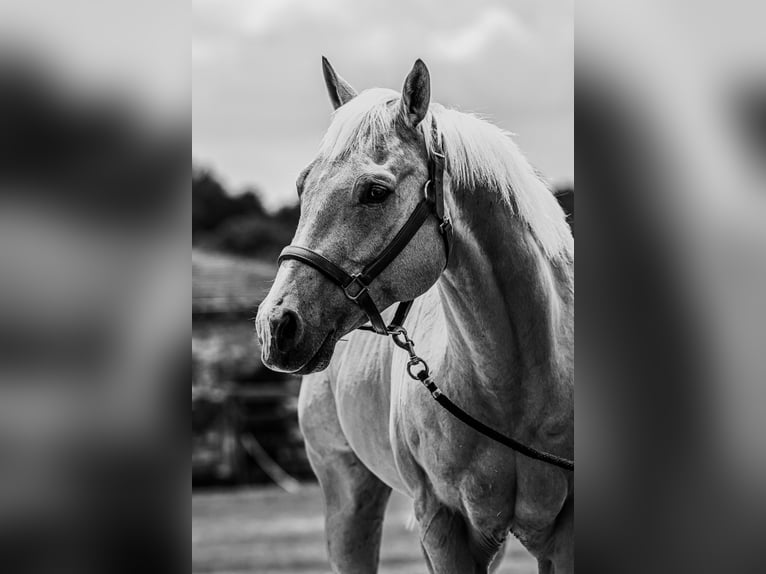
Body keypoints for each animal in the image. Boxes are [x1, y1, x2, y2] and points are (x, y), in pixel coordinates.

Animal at [256, 58, 574, 573]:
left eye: (375, 191)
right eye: (303, 185)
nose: (276, 325)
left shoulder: (562, 534)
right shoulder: (443, 525)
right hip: (348, 499)